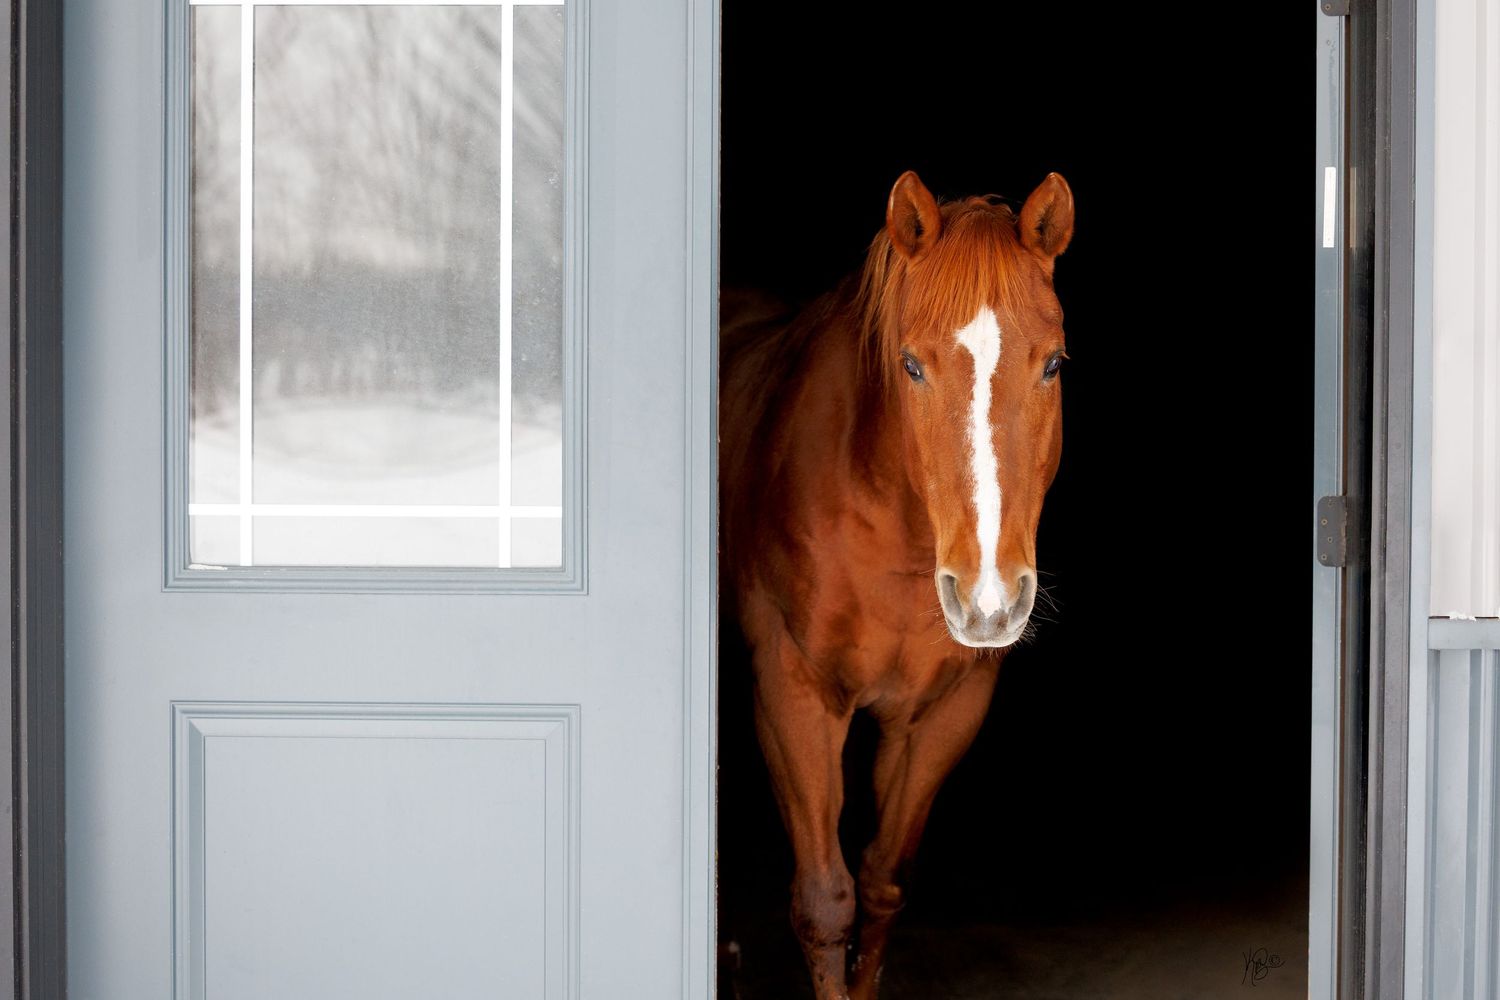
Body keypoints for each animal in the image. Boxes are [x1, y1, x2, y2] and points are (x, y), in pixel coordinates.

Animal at [720, 170, 1074, 999]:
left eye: (1053, 364)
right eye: (911, 365)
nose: (988, 598)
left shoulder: (943, 714)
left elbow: (882, 885)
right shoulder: (793, 698)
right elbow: (825, 901)